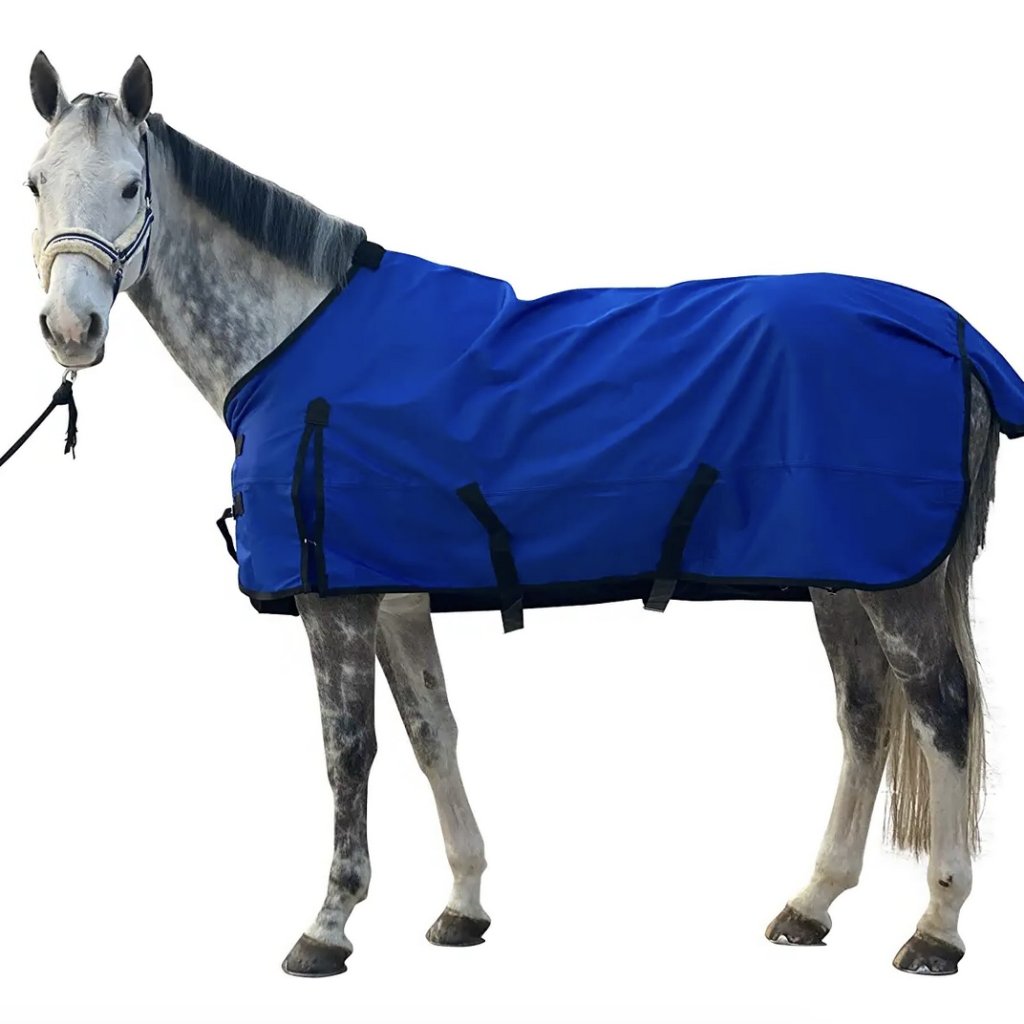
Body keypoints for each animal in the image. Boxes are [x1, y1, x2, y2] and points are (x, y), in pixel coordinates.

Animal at [24, 51, 1002, 977]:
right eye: (35, 182)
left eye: (131, 185)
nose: (70, 331)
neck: (298, 343)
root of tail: (957, 334)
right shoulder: (396, 595)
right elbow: (432, 735)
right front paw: (463, 904)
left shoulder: (335, 600)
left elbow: (350, 749)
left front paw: (328, 926)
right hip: (842, 577)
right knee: (865, 717)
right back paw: (812, 904)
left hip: (897, 584)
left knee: (941, 713)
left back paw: (937, 929)